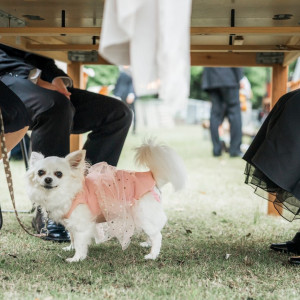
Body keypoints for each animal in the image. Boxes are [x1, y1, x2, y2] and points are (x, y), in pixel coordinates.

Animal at [26, 139, 185, 262]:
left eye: (58, 174)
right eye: (41, 172)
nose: (48, 179)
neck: (63, 193)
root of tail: (152, 176)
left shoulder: (82, 225)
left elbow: (80, 243)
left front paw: (76, 258)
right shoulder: (70, 223)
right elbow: (72, 237)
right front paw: (70, 248)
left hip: (144, 213)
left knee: (157, 236)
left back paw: (152, 255)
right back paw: (147, 244)